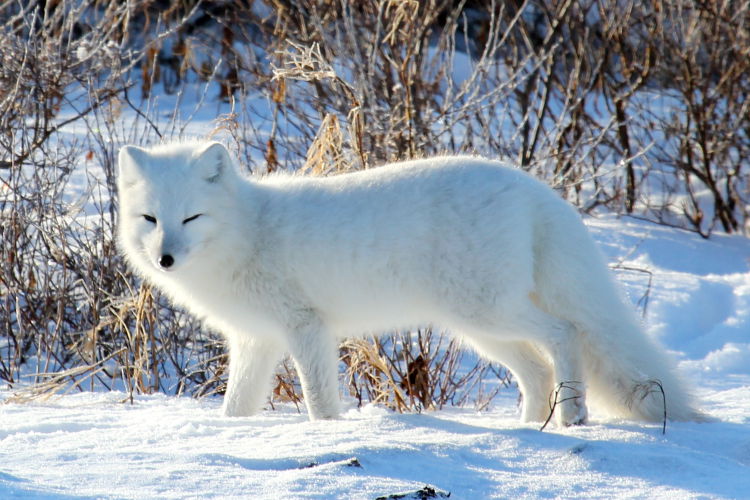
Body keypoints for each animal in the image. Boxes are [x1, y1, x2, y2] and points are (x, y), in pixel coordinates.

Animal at [119, 141, 704, 426]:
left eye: (191, 217)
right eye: (151, 219)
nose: (166, 258)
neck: (249, 231)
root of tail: (533, 189)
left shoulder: (306, 328)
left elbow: (318, 398)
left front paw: (326, 435)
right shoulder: (255, 340)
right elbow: (236, 406)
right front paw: (230, 435)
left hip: (488, 313)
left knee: (565, 334)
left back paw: (573, 415)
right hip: (479, 328)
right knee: (537, 369)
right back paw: (523, 431)